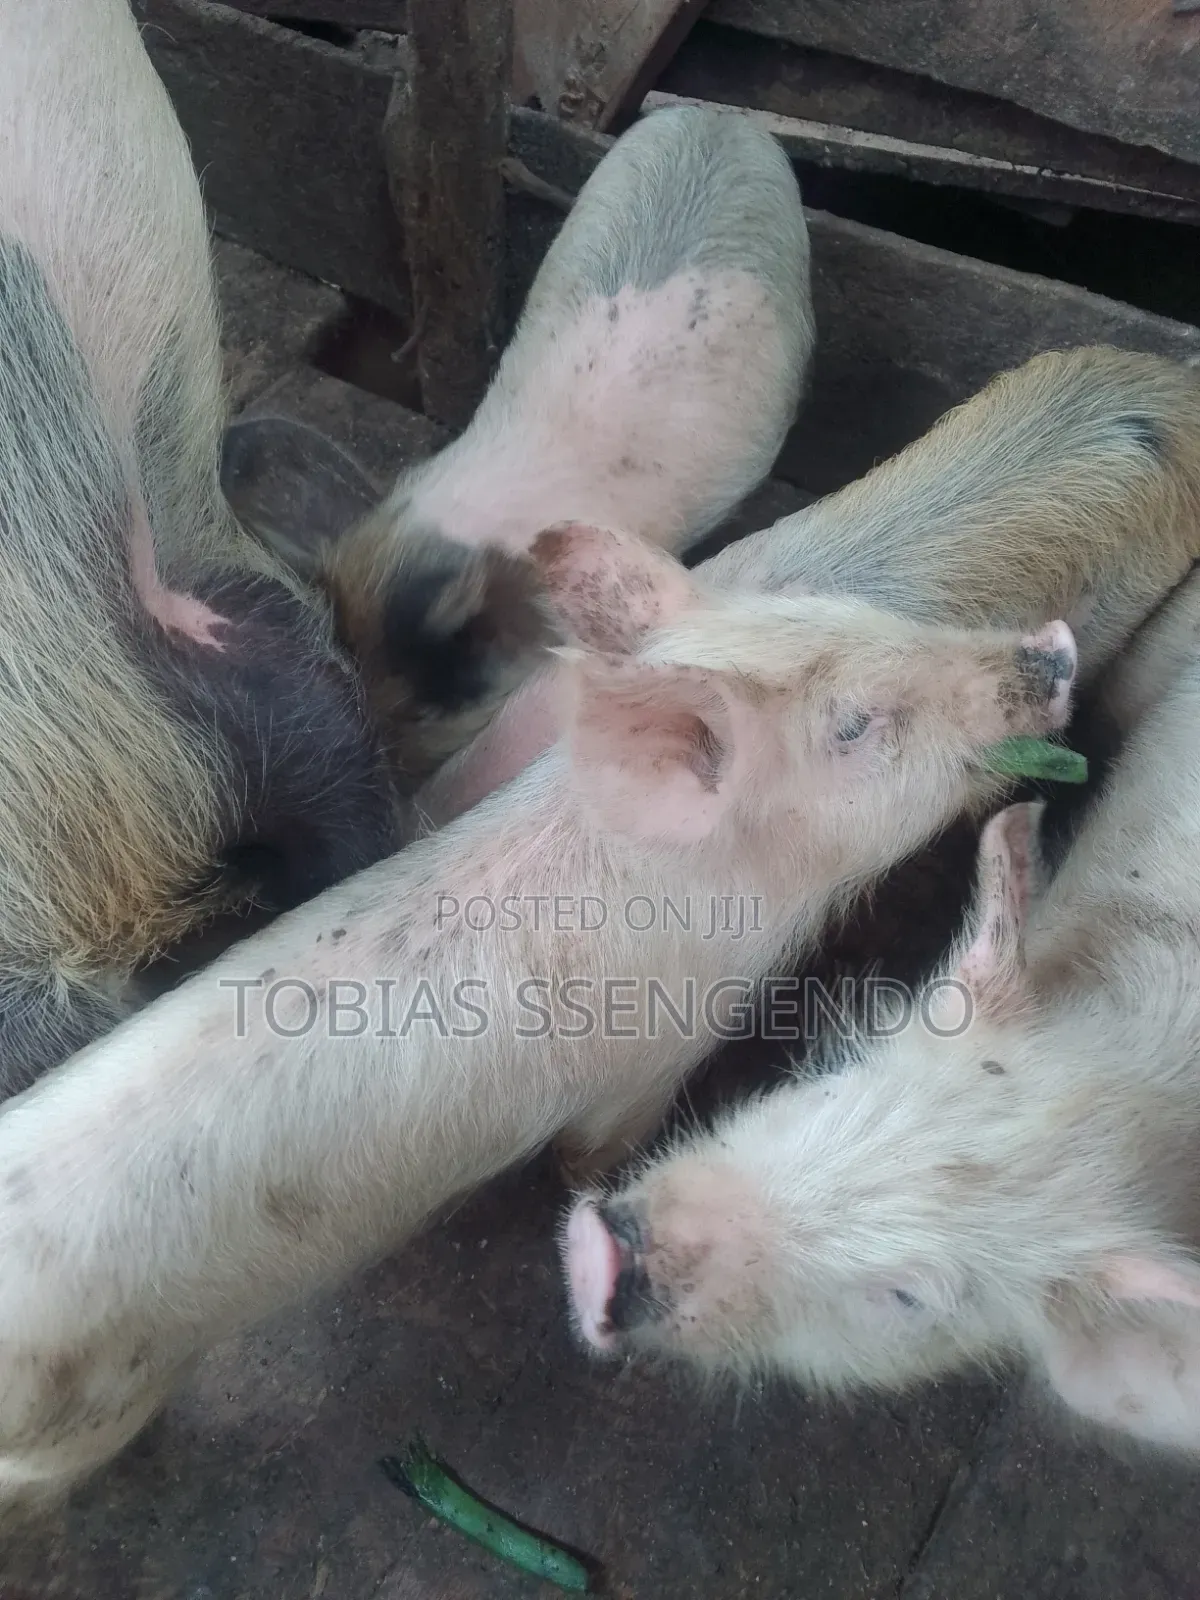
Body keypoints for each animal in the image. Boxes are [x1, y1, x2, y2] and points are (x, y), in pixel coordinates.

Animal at [0, 520, 1078, 1512]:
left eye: (871, 619)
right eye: (855, 724)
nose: (1055, 649)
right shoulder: (652, 1056)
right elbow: (596, 1154)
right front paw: (590, 1185)